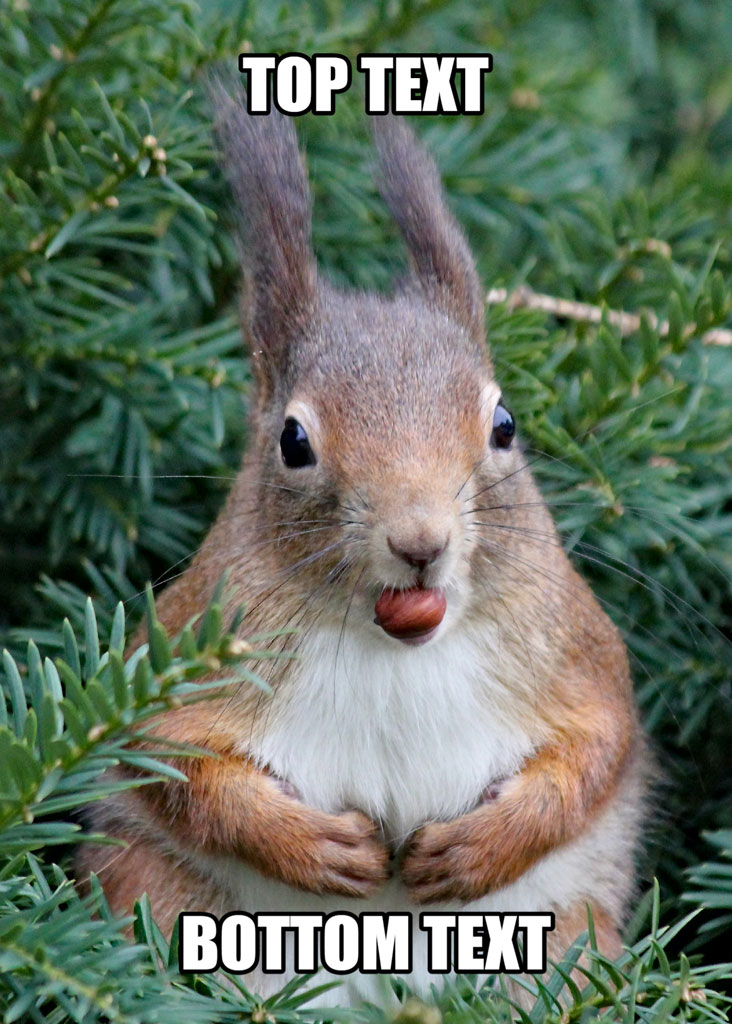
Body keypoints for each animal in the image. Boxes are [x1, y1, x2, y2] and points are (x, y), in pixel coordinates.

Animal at [76, 88, 648, 1005]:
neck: (393, 643)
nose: (420, 541)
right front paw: (311, 846)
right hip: (157, 892)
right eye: (293, 441)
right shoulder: (187, 647)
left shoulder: (574, 650)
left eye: (503, 424)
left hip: (566, 937)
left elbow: (596, 748)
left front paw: (480, 848)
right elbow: (170, 761)